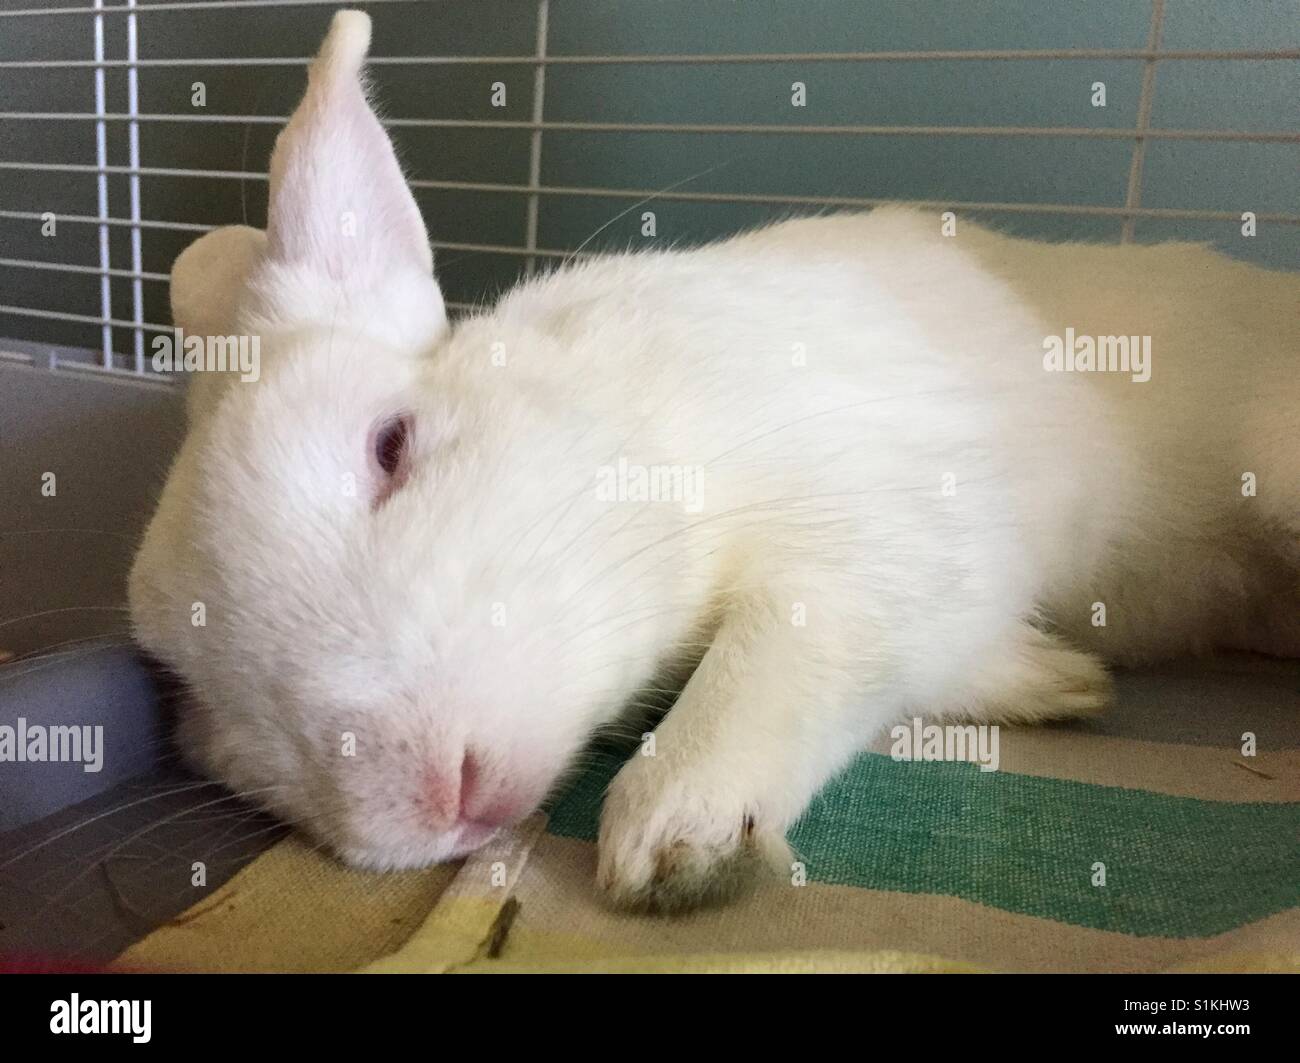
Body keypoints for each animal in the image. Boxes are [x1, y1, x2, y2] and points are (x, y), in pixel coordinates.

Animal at [129, 11, 1300, 912]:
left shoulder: (885, 533)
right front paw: (1060, 682)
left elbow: (783, 652)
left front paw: (675, 840)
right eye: (188, 695)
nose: (434, 798)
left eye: (391, 445)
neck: (638, 431)